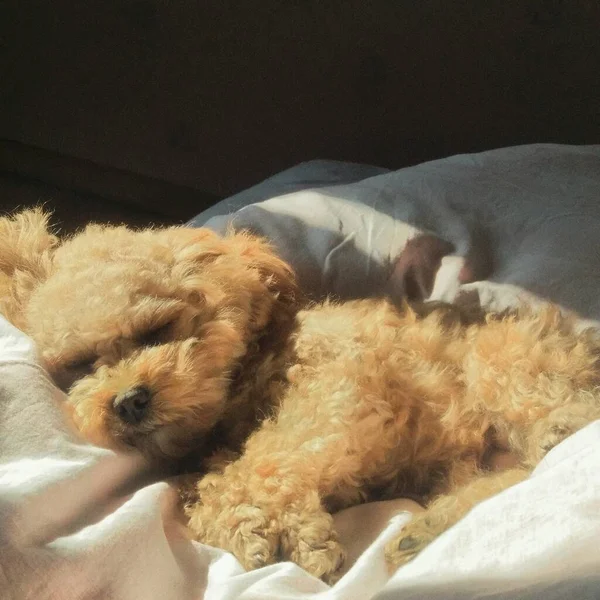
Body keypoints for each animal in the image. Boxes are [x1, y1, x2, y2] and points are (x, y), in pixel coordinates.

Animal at [1, 210, 600, 580]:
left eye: (157, 329)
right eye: (80, 365)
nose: (125, 402)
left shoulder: (340, 383)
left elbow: (266, 456)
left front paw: (283, 524)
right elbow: (210, 490)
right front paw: (262, 524)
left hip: (500, 357)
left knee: (553, 430)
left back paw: (551, 431)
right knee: (505, 480)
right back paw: (423, 531)